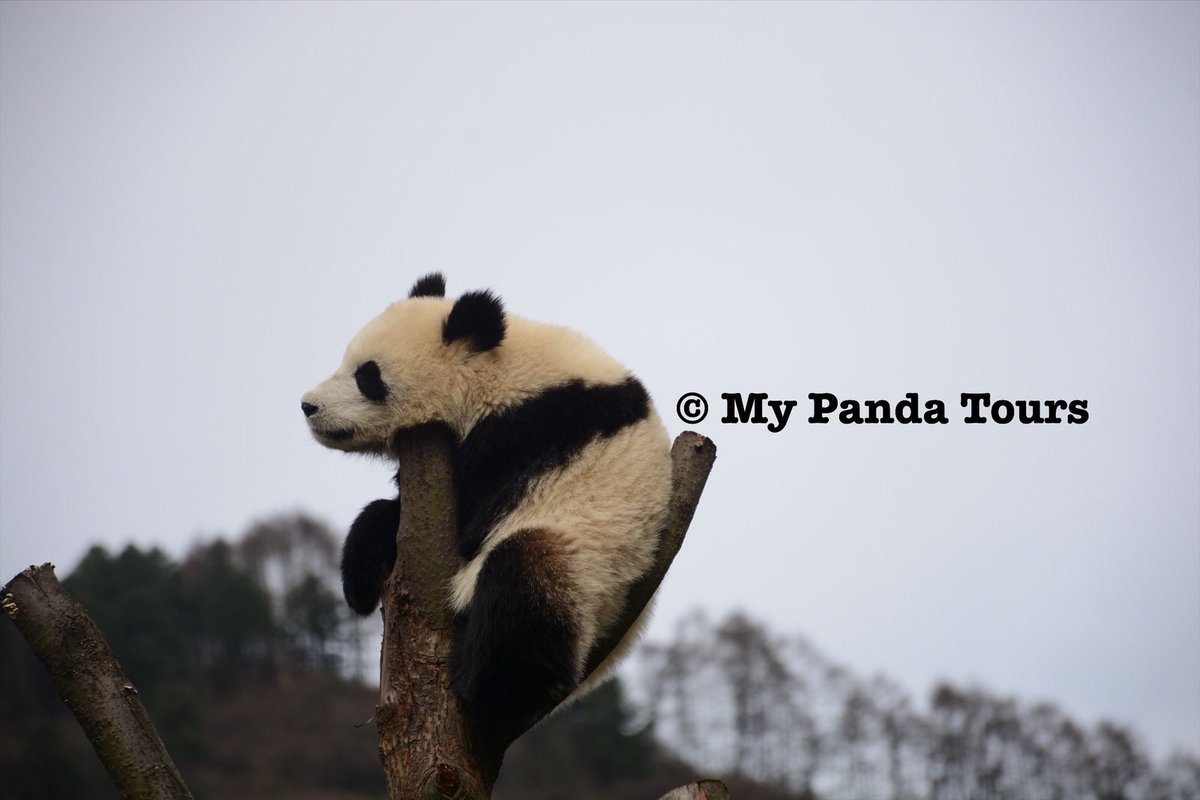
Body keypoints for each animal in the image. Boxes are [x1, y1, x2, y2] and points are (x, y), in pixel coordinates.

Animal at [300, 273, 671, 727]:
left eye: (368, 377)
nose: (308, 405)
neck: (498, 371)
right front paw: (363, 571)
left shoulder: (528, 427)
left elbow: (475, 510)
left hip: (595, 570)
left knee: (522, 583)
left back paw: (486, 685)